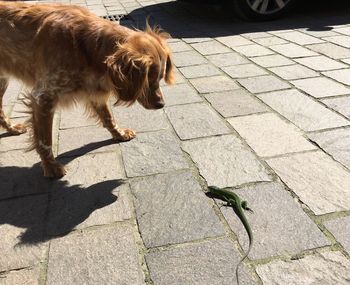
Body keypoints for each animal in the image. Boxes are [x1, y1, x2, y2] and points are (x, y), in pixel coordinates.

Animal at [0, 0, 174, 178]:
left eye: (160, 78)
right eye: (148, 80)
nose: (161, 105)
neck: (85, 46)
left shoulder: (93, 92)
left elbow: (108, 118)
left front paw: (119, 134)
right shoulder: (42, 98)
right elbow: (44, 140)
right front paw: (51, 167)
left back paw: (11, 128)